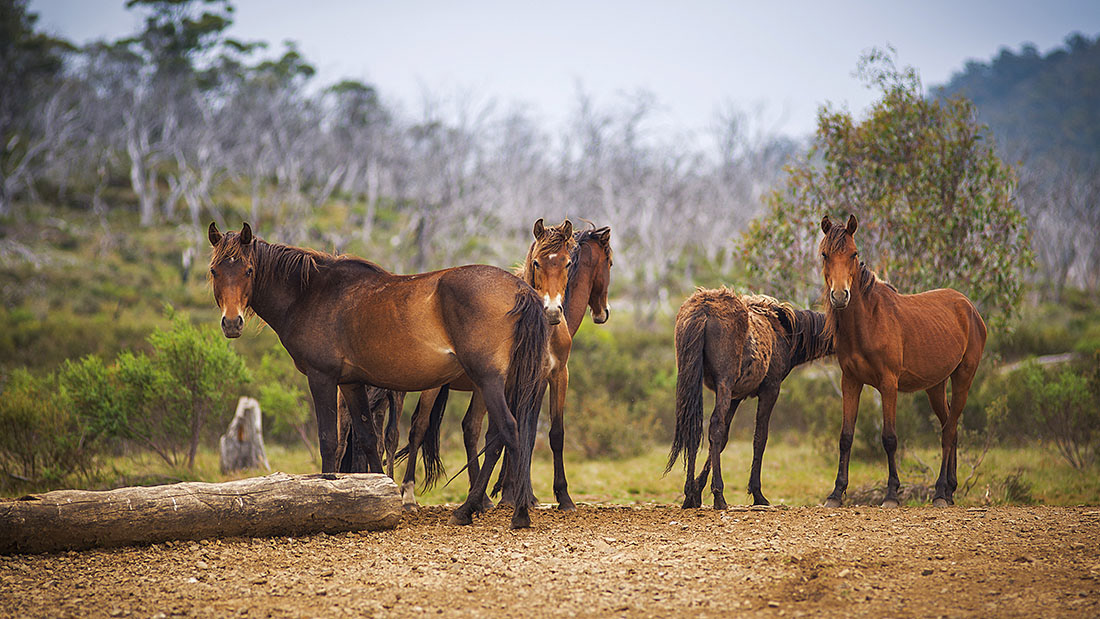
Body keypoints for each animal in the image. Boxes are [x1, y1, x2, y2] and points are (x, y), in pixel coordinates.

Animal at [207, 222, 549, 529]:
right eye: (214, 271)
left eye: (248, 270)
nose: (232, 323)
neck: (312, 294)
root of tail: (520, 288)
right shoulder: (351, 383)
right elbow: (369, 438)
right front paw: (380, 495)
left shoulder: (322, 378)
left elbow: (329, 438)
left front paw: (328, 490)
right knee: (495, 437)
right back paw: (471, 509)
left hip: (488, 381)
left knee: (508, 430)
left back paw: (515, 513)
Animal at [398, 221, 613, 511]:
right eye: (536, 263)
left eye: (567, 263)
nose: (602, 313)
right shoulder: (525, 383)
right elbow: (521, 431)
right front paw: (516, 493)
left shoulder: (555, 377)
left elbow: (550, 433)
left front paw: (556, 497)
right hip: (431, 387)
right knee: (418, 428)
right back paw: (408, 496)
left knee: (468, 428)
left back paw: (481, 498)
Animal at [667, 289, 833, 509]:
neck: (786, 333)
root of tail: (704, 308)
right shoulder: (770, 389)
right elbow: (759, 438)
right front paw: (758, 494)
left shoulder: (735, 396)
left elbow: (723, 439)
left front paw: (696, 491)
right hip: (724, 382)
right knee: (714, 426)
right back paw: (719, 497)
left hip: (691, 378)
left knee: (692, 426)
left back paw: (687, 497)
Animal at [818, 214, 986, 508]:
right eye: (825, 254)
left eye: (853, 254)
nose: (839, 296)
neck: (868, 321)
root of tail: (969, 308)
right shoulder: (850, 381)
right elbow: (846, 437)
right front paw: (836, 494)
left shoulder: (888, 384)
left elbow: (889, 438)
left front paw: (891, 494)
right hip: (936, 387)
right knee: (950, 427)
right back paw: (950, 490)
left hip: (963, 379)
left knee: (948, 432)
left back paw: (940, 492)